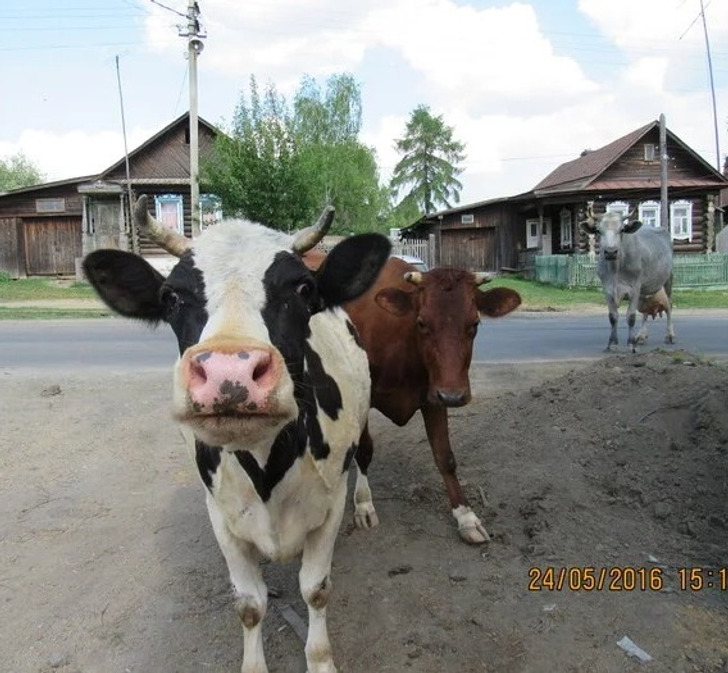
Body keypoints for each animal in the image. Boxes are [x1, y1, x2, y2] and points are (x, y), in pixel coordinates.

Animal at [83, 198, 392, 672]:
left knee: (366, 457)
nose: (230, 372)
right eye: (172, 297)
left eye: (303, 290)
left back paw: (366, 506)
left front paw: (320, 659)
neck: (267, 464)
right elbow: (249, 603)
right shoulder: (222, 515)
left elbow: (315, 588)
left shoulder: (329, 504)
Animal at [344, 255, 520, 544]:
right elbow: (365, 449)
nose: (454, 395)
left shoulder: (434, 394)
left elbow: (445, 456)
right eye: (422, 323)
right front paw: (363, 504)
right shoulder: (361, 395)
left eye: (474, 324)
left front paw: (466, 517)